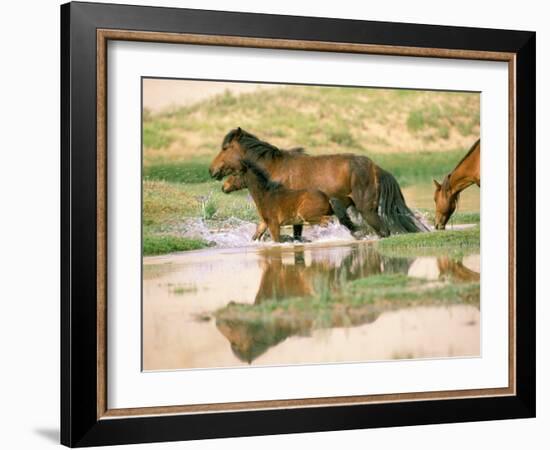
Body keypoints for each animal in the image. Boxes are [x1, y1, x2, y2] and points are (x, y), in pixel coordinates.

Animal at [209, 126, 430, 237]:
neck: (273, 171)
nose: (212, 170)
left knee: (384, 231)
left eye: (225, 148)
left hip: (367, 210)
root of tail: (376, 168)